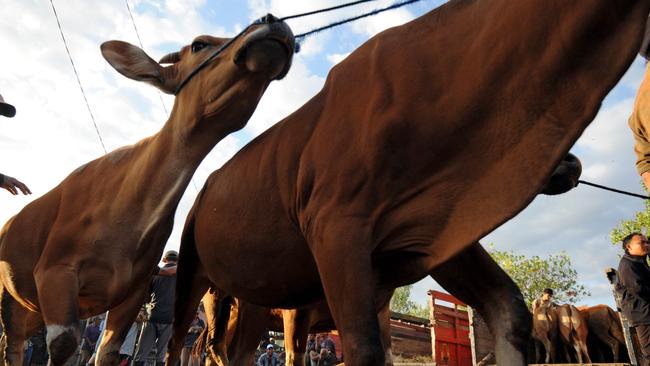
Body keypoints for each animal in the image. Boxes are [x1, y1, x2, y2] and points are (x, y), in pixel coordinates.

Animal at [0, 15, 292, 366]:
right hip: (11, 297)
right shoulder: (56, 273)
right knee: (12, 345)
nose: (272, 22)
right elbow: (64, 344)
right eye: (199, 44)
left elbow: (108, 352)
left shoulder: (132, 293)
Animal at [165, 1, 644, 364]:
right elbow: (363, 349)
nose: (572, 164)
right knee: (182, 343)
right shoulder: (336, 228)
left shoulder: (435, 231)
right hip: (194, 274)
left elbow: (509, 311)